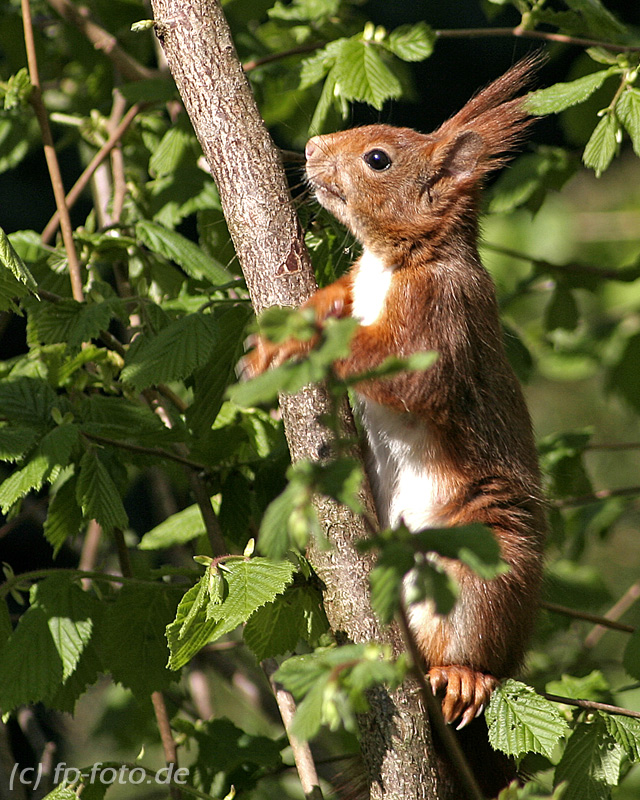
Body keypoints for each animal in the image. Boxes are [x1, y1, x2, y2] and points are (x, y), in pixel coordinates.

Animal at [244, 57, 544, 736]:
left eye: (378, 158)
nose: (312, 147)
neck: (396, 261)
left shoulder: (442, 320)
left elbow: (404, 374)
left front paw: (298, 344)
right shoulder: (357, 281)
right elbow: (332, 297)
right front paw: (282, 330)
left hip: (488, 562)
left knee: (477, 639)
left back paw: (463, 675)